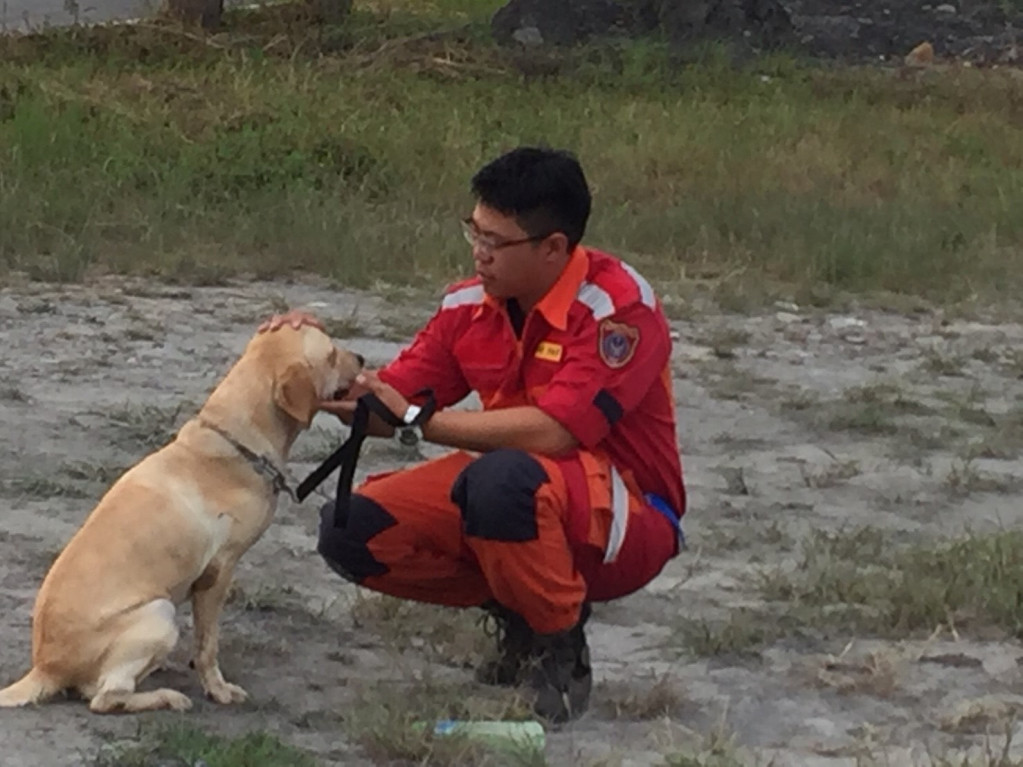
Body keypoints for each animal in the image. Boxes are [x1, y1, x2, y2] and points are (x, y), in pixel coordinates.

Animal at [0, 323, 364, 715]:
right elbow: (208, 646)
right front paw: (218, 690)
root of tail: (45, 668)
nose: (362, 359)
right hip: (159, 613)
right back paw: (167, 696)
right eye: (331, 355)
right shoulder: (218, 573)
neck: (237, 442)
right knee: (105, 698)